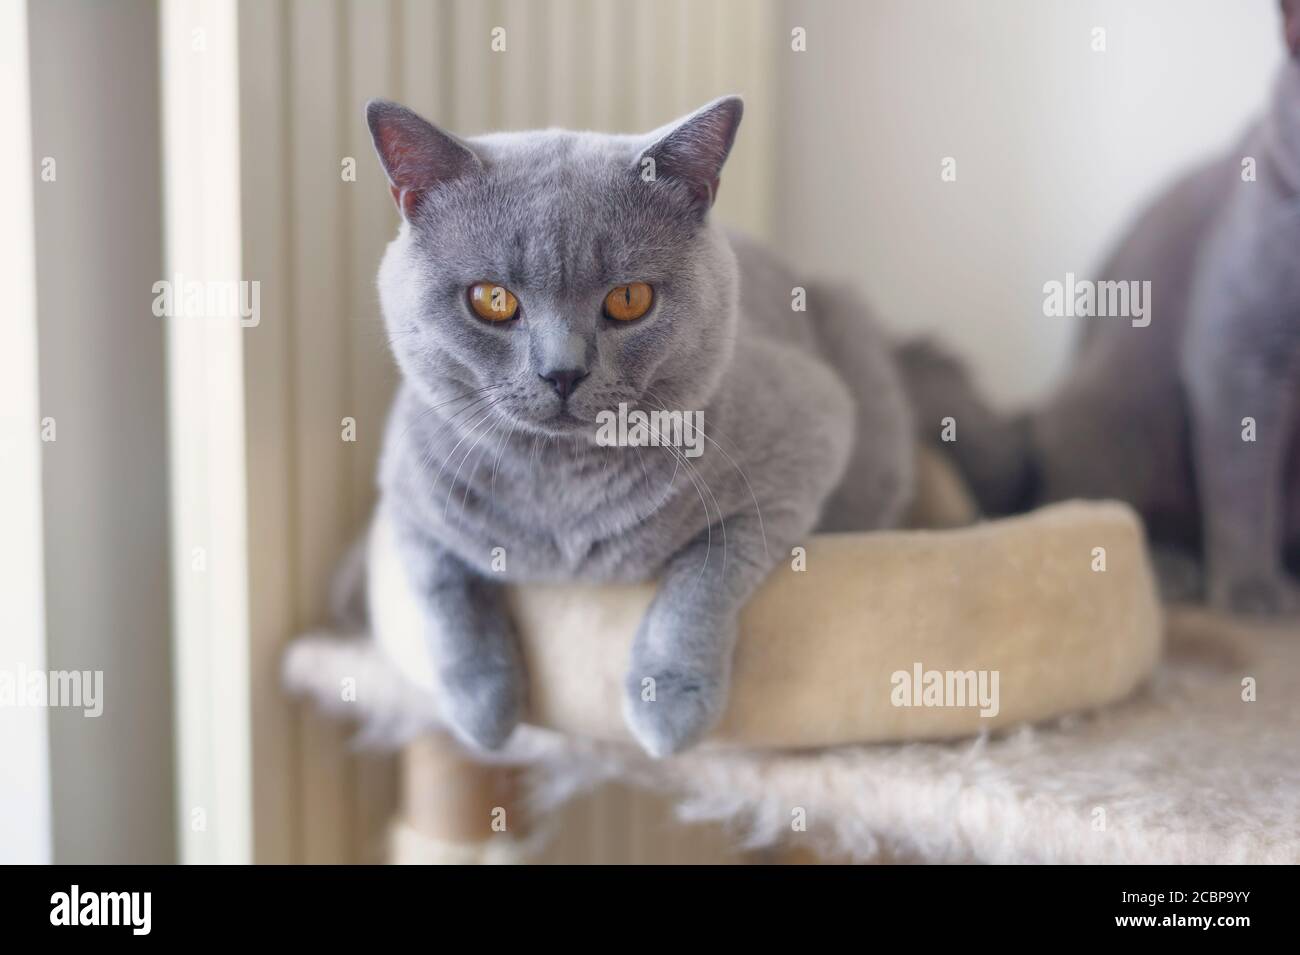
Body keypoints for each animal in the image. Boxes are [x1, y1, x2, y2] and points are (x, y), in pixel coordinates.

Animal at [364, 97, 915, 753]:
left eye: (629, 299)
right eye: (492, 299)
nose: (562, 372)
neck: (562, 491)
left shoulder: (806, 439)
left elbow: (703, 575)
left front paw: (667, 706)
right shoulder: (405, 491)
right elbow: (443, 586)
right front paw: (483, 711)